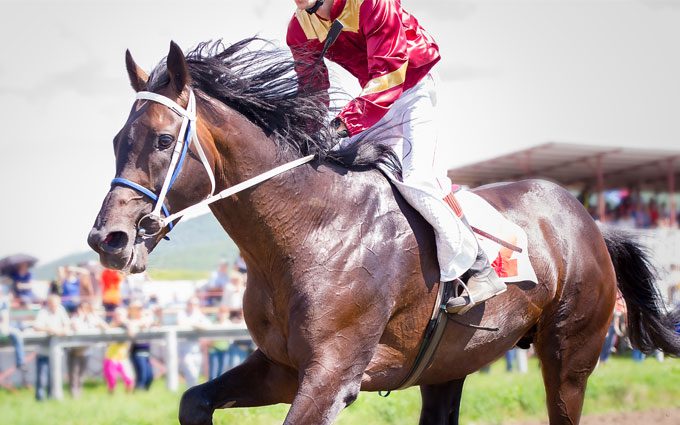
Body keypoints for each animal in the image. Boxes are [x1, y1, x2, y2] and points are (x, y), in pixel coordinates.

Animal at [87, 38, 676, 422]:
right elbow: (193, 401)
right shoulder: (282, 366)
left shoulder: (332, 375)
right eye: (116, 139)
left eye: (164, 140)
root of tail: (589, 221)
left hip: (569, 356)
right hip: (449, 366)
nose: (108, 239)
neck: (310, 231)